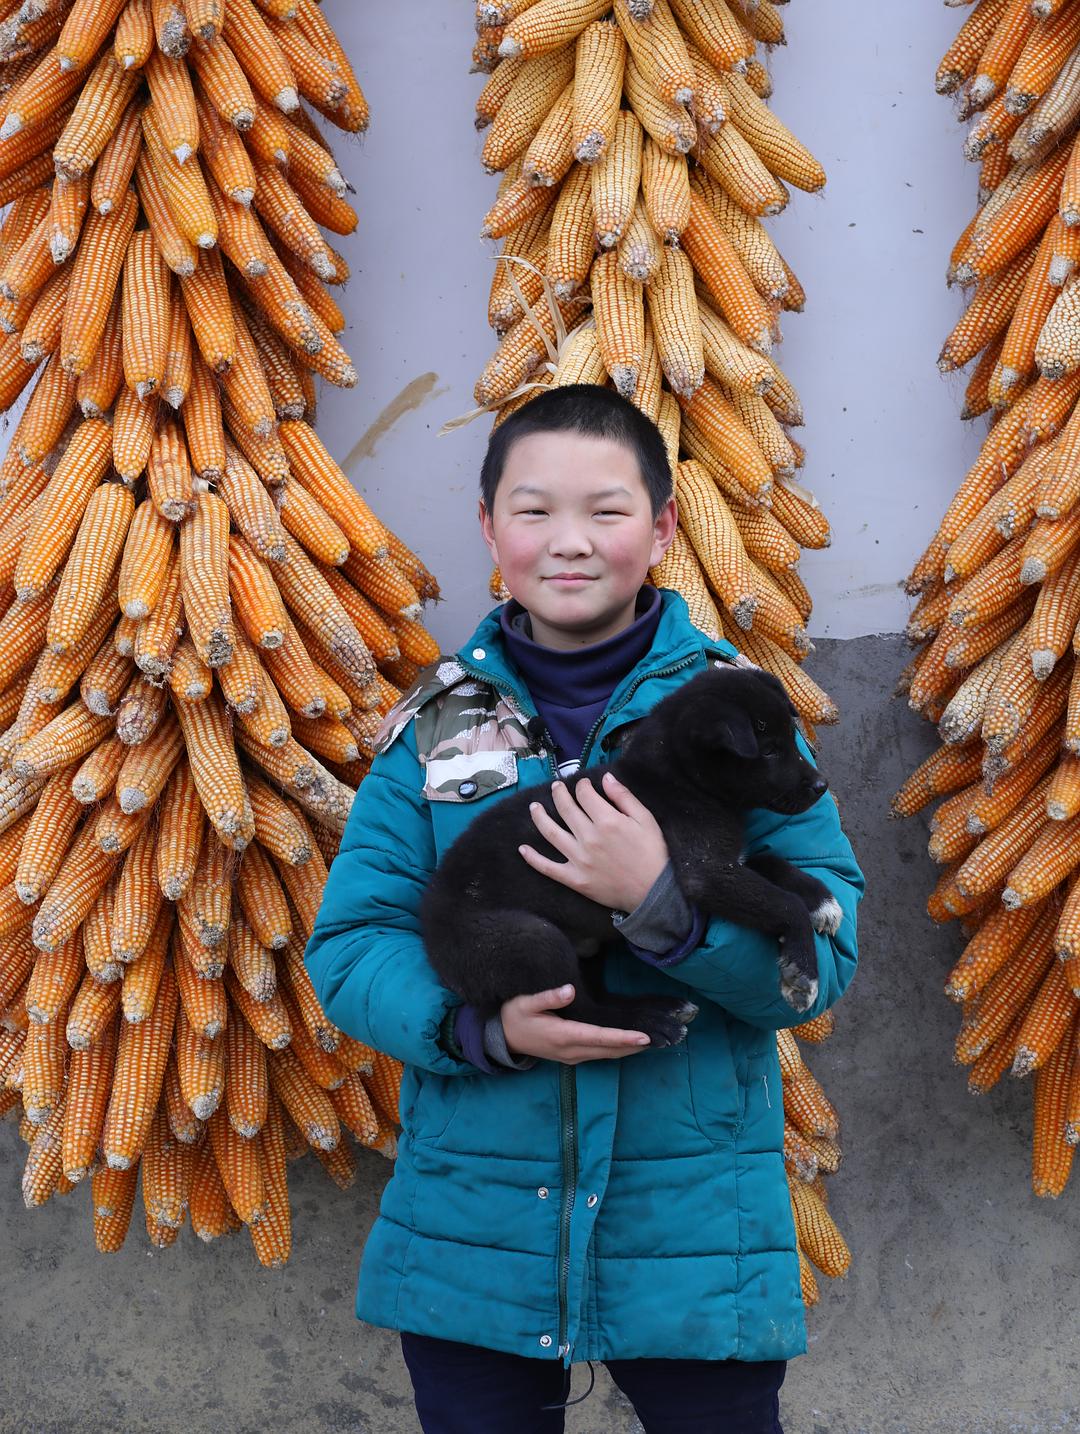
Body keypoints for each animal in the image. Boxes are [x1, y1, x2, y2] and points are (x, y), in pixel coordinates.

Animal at [421, 665, 843, 1049]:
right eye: (769, 750)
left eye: (790, 740)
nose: (822, 786)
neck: (680, 778)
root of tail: (431, 934)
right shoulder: (704, 871)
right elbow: (782, 902)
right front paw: (802, 972)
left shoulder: (722, 861)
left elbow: (771, 865)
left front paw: (821, 900)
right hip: (528, 940)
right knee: (578, 1011)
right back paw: (651, 1020)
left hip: (582, 947)